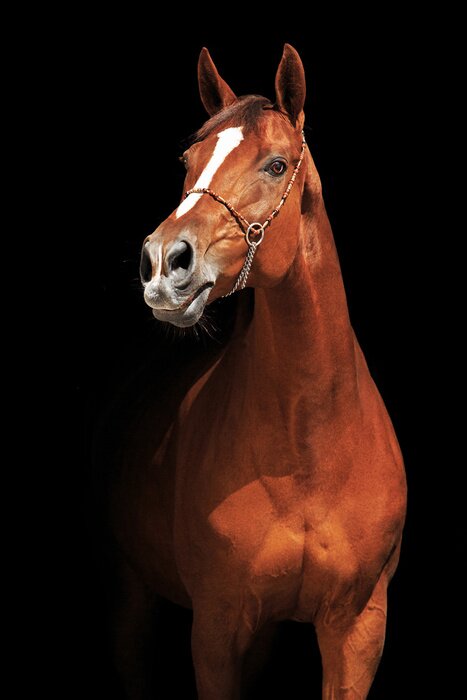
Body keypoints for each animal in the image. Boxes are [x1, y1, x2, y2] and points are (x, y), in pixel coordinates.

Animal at [110, 44, 407, 699]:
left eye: (275, 165)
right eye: (188, 161)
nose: (162, 262)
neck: (309, 452)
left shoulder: (358, 629)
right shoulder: (217, 629)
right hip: (136, 594)